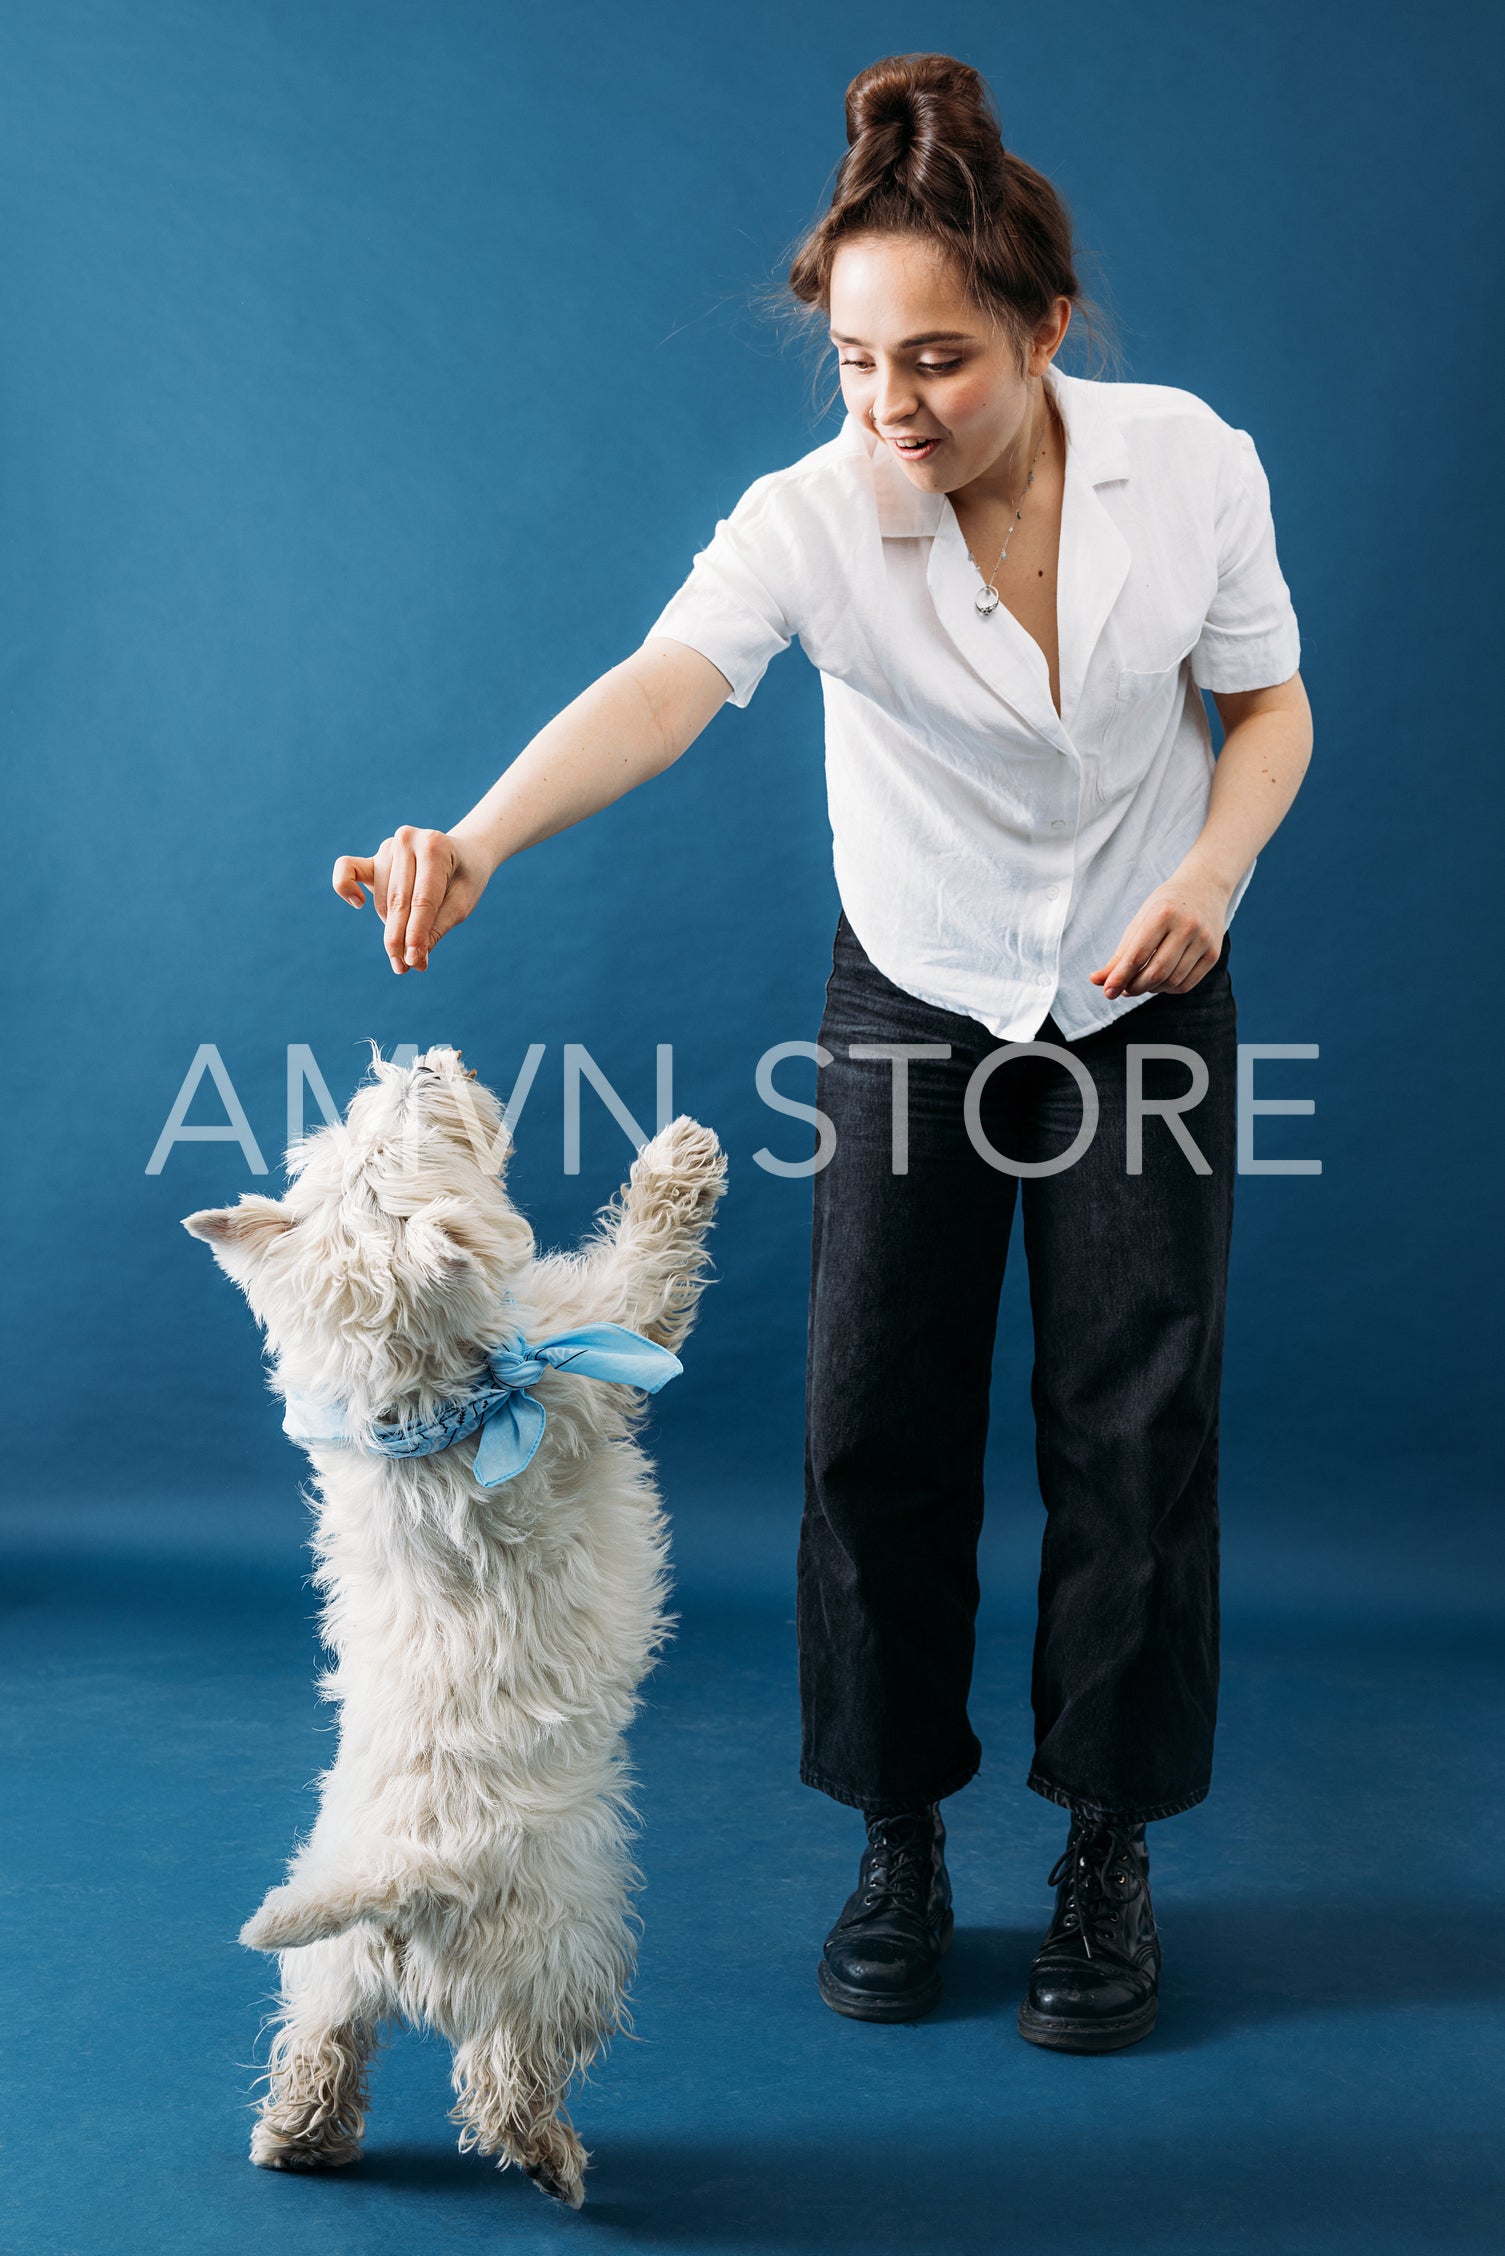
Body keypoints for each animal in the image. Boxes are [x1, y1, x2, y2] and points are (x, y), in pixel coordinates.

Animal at [185, 1042, 726, 2201]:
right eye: (413, 1126)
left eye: (375, 1118)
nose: (428, 1056)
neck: (426, 1404)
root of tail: (397, 1883)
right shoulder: (596, 1335)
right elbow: (649, 1266)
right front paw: (677, 1155)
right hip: (561, 1952)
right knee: (504, 2073)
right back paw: (555, 2163)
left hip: (330, 1967)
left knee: (323, 2045)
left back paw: (297, 2140)